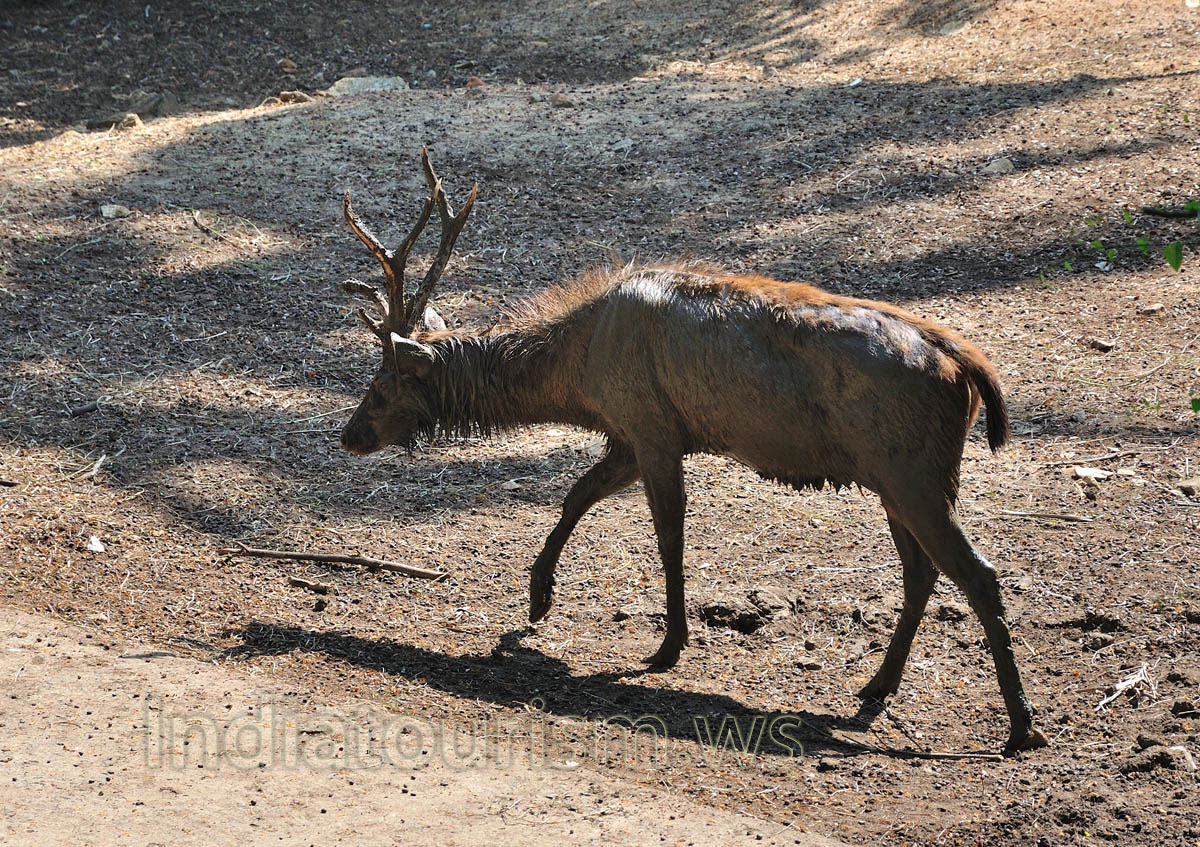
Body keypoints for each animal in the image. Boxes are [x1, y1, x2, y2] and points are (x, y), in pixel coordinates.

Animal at [336, 149, 1048, 754]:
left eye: (383, 383)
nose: (349, 435)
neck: (578, 371)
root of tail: (966, 366)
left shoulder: (651, 428)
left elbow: (667, 534)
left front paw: (668, 645)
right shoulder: (629, 432)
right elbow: (575, 495)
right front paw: (538, 599)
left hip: (913, 472)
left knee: (977, 574)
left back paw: (1021, 725)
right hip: (896, 478)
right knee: (921, 573)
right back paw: (875, 688)